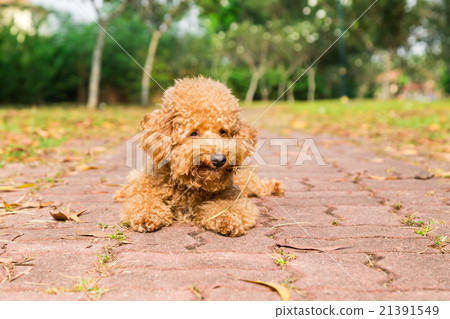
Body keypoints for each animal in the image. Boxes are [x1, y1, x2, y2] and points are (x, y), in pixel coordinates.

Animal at [116, 76, 284, 236]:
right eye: (193, 133)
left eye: (223, 131)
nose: (219, 160)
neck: (187, 184)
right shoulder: (146, 191)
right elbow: (143, 201)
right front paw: (146, 216)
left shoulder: (233, 197)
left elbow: (229, 208)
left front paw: (228, 219)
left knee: (254, 184)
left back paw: (273, 186)